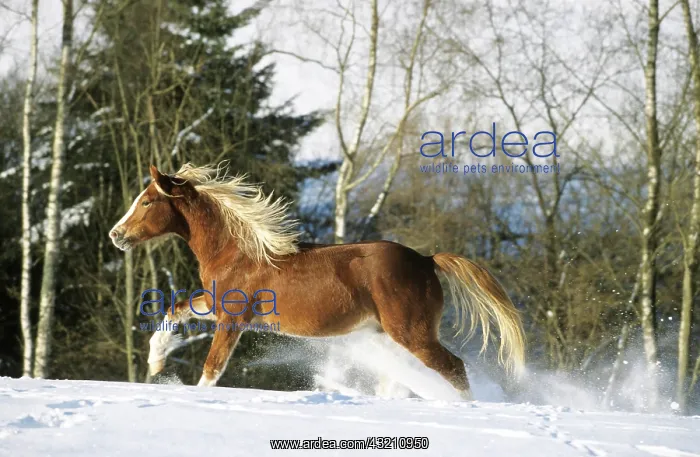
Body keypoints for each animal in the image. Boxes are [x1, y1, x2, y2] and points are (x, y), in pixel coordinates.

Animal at [109, 163, 525, 399]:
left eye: (147, 201)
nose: (116, 235)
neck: (238, 251)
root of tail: (426, 260)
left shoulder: (233, 318)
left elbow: (213, 366)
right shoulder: (216, 305)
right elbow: (175, 311)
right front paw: (156, 362)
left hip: (413, 333)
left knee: (453, 368)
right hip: (392, 335)